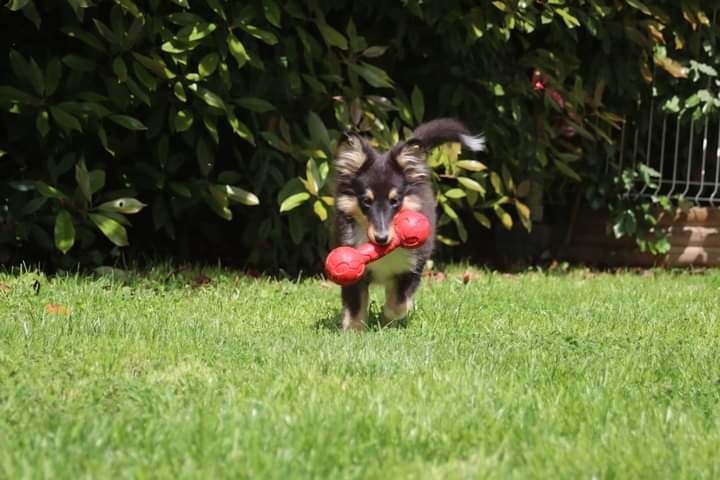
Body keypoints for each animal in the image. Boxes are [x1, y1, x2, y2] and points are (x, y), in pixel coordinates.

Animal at [332, 118, 484, 332]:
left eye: (395, 201)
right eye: (366, 202)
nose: (382, 238)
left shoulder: (412, 267)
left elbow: (399, 303)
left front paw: (388, 320)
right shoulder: (354, 272)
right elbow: (355, 306)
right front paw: (354, 332)